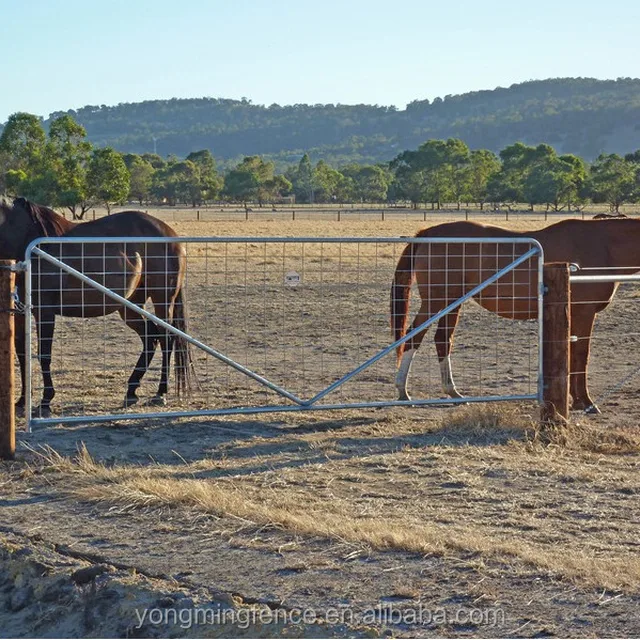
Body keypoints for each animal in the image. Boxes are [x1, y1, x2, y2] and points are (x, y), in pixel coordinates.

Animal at [0, 198, 195, 418]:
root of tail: (171, 235)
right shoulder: (20, 311)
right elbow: (21, 353)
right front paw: (22, 401)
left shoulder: (45, 311)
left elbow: (44, 354)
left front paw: (45, 401)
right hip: (130, 306)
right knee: (150, 338)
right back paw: (131, 391)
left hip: (162, 300)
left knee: (166, 338)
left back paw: (160, 392)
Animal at [390, 218, 640, 412]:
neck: (603, 246)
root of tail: (427, 234)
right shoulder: (584, 313)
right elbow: (581, 356)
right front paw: (586, 402)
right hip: (436, 303)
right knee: (414, 336)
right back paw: (403, 391)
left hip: (451, 304)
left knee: (442, 340)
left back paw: (454, 393)